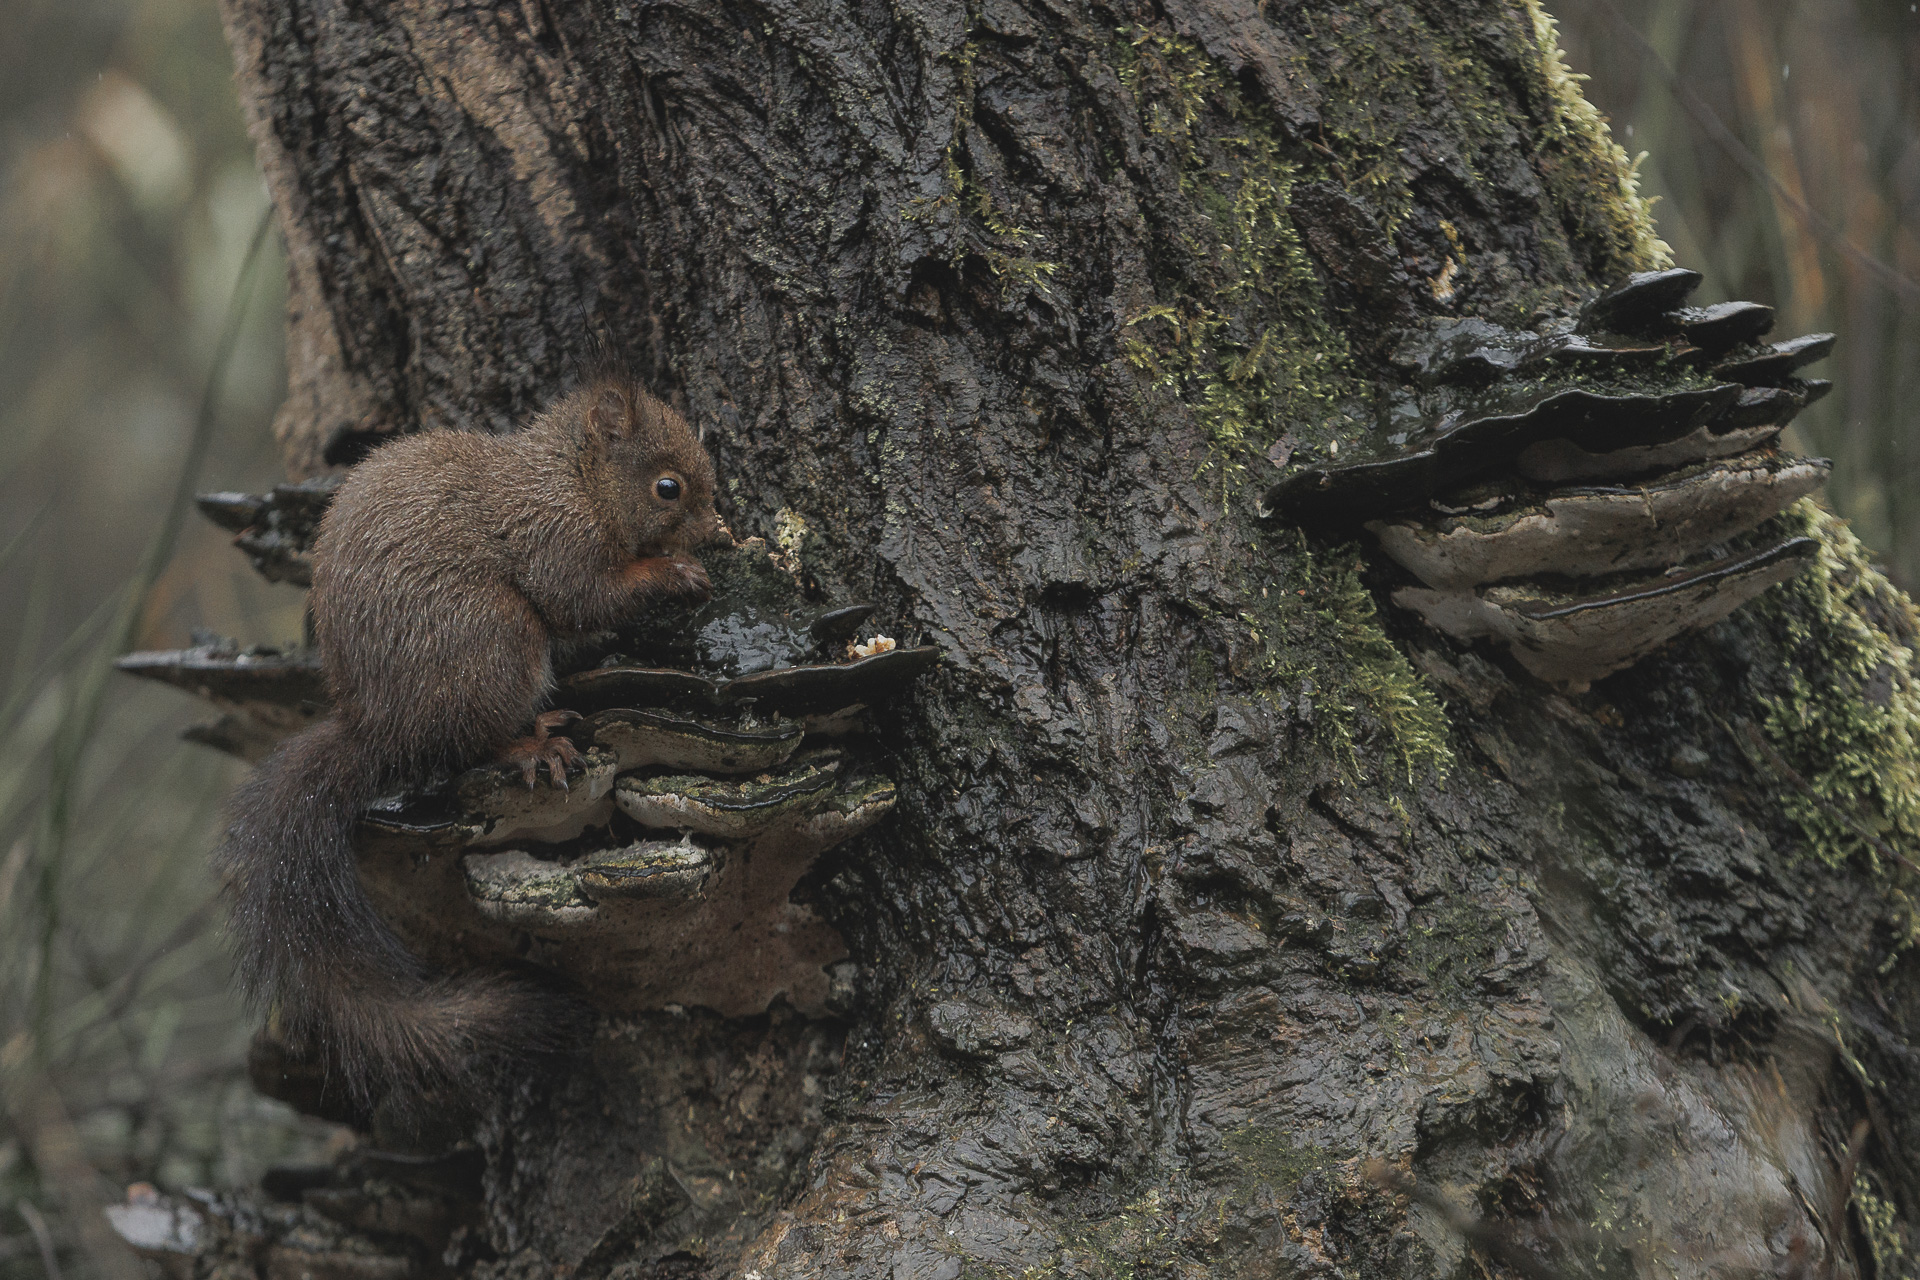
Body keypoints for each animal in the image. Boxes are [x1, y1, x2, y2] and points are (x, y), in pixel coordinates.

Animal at [216, 375, 720, 1116]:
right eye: (668, 488)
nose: (717, 531)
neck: (571, 477)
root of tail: (381, 728)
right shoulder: (553, 536)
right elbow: (584, 596)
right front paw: (673, 572)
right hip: (497, 640)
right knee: (474, 740)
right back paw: (529, 746)